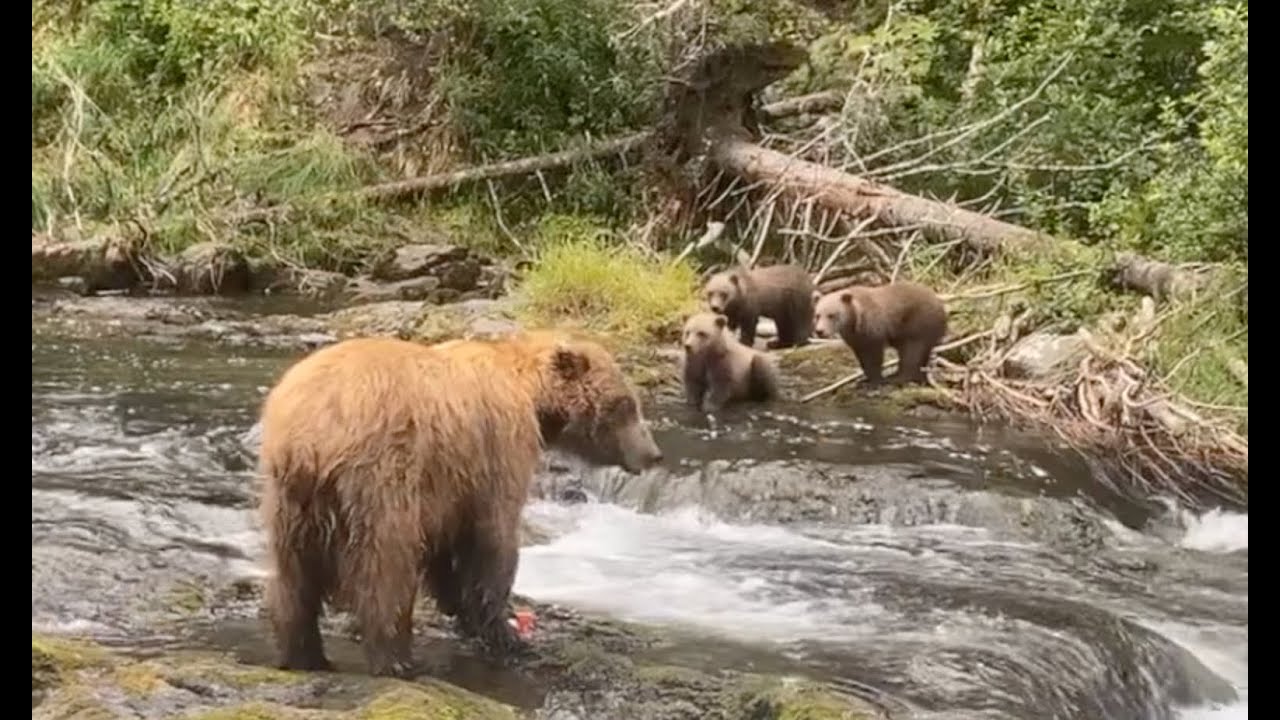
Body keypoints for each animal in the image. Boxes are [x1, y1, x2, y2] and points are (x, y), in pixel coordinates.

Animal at [257, 334, 662, 678]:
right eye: (626, 405)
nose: (654, 454)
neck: (532, 395)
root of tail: (311, 432)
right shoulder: (497, 450)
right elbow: (494, 539)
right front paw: (503, 630)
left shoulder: (447, 484)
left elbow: (445, 545)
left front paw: (462, 609)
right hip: (378, 476)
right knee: (386, 562)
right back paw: (397, 659)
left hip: (290, 497)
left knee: (292, 574)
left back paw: (303, 654)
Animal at [812, 281, 948, 386]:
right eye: (818, 315)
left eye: (831, 315)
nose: (820, 331)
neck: (854, 320)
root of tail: (941, 305)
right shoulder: (856, 338)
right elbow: (863, 357)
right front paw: (865, 380)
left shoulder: (873, 329)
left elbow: (874, 355)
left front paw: (875, 380)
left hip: (918, 323)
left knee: (912, 351)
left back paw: (898, 377)